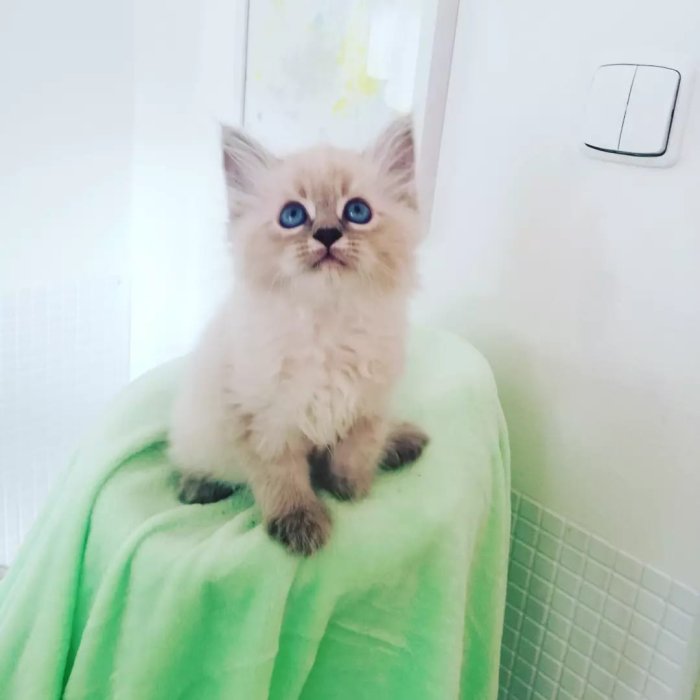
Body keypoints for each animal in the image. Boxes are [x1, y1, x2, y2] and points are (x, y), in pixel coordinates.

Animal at [169, 116, 428, 556]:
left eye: (357, 211)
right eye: (292, 215)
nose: (326, 234)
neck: (326, 325)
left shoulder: (366, 407)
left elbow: (354, 455)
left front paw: (350, 489)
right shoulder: (263, 421)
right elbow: (283, 481)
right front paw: (300, 526)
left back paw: (400, 445)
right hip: (196, 431)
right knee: (186, 462)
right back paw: (197, 487)